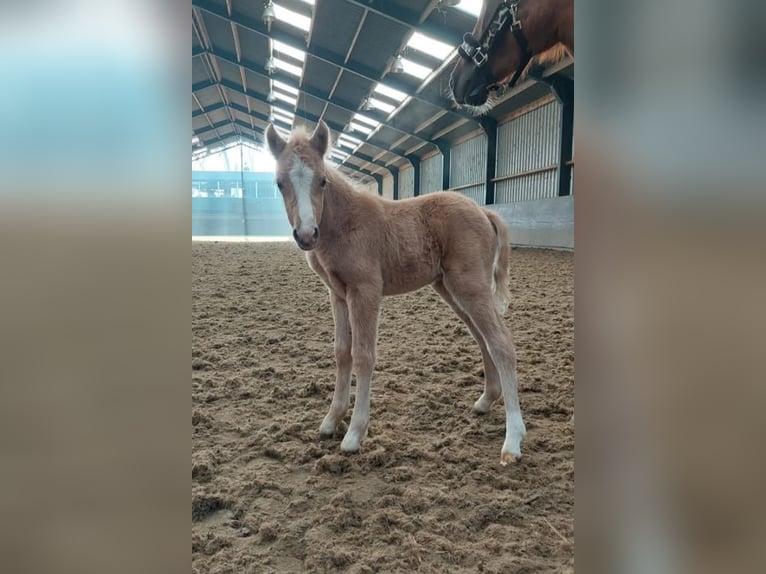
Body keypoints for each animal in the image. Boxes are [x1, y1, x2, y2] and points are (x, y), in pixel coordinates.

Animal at [266, 122, 528, 468]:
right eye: (279, 183)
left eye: (322, 180)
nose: (307, 235)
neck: (345, 224)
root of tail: (484, 212)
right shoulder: (337, 294)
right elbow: (342, 352)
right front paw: (331, 420)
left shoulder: (365, 291)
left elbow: (363, 355)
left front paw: (354, 434)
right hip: (451, 289)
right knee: (482, 337)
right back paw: (485, 401)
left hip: (470, 286)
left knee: (501, 343)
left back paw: (512, 440)